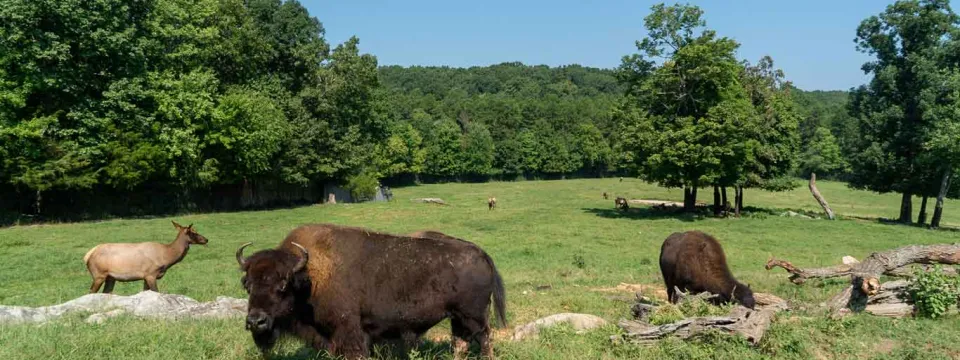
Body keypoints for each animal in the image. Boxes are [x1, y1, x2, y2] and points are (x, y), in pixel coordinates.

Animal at [235, 224, 506, 358]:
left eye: (282, 285)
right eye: (247, 285)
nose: (256, 321)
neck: (310, 277)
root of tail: (481, 253)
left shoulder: (349, 333)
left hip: (474, 317)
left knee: (484, 340)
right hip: (457, 317)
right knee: (460, 342)